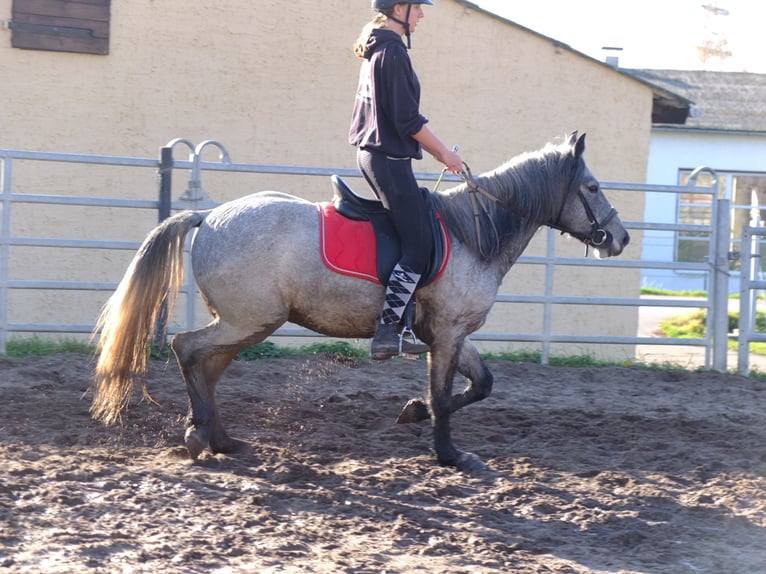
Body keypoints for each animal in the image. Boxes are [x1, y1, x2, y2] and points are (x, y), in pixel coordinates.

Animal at [90, 134, 632, 472]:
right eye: (592, 187)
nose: (620, 238)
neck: (473, 233)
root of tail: (208, 216)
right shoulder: (448, 333)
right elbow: (445, 396)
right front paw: (449, 454)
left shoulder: (450, 334)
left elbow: (481, 384)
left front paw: (414, 413)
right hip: (248, 320)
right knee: (187, 349)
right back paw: (201, 436)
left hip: (246, 323)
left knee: (207, 365)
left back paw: (217, 438)